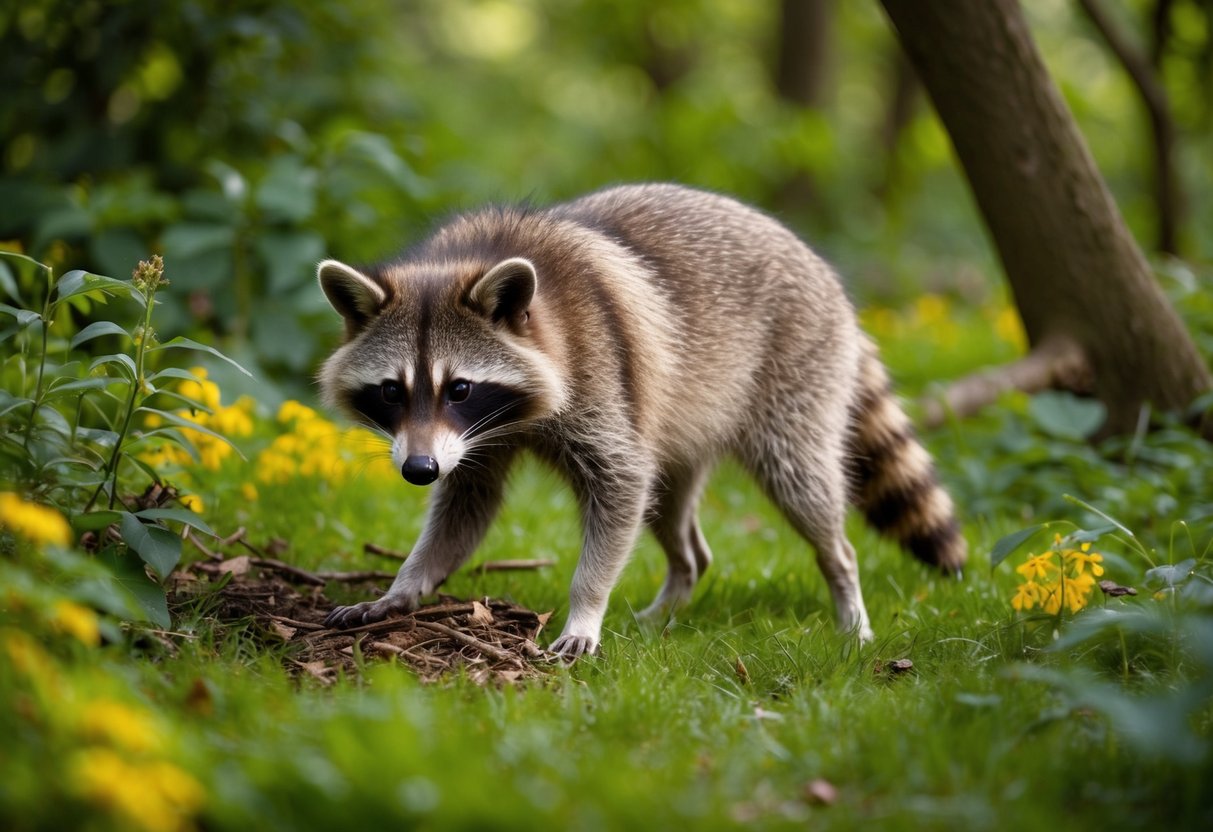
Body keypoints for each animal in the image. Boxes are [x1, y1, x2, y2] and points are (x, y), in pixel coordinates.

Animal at [317, 184, 966, 657]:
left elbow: (620, 484)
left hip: (798, 374)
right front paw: (405, 584)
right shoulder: (472, 442)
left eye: (459, 388)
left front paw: (585, 607)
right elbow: (465, 507)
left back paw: (845, 591)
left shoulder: (601, 374)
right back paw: (675, 592)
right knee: (671, 511)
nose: (418, 469)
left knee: (802, 484)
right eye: (391, 391)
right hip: (682, 424)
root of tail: (822, 270)